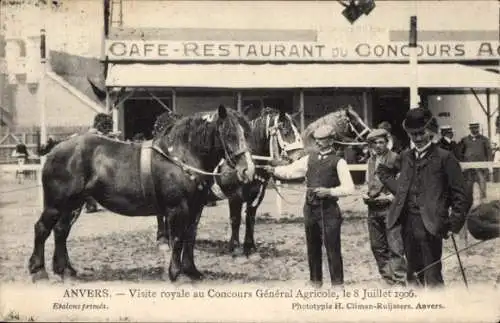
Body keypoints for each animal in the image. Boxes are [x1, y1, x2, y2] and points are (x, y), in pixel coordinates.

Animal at [27, 105, 256, 282]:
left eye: (247, 133)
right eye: (229, 134)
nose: (248, 170)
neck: (180, 157)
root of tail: (56, 148)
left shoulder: (195, 208)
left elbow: (190, 237)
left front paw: (192, 271)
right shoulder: (177, 209)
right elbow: (177, 239)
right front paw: (176, 274)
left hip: (74, 204)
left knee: (61, 231)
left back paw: (65, 270)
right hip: (56, 204)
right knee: (42, 228)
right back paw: (39, 271)